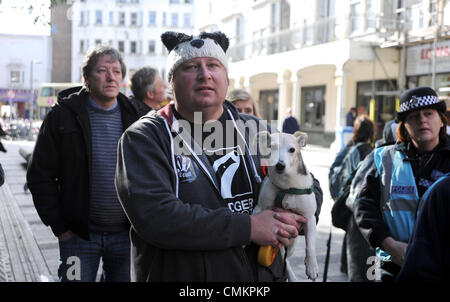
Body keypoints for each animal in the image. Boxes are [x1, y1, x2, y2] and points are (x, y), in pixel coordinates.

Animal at [253, 131, 320, 282]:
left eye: (292, 150)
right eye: (271, 147)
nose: (280, 165)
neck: (286, 187)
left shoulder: (309, 218)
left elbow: (311, 245)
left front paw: (312, 266)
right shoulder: (260, 207)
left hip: (292, 245)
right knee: (285, 261)